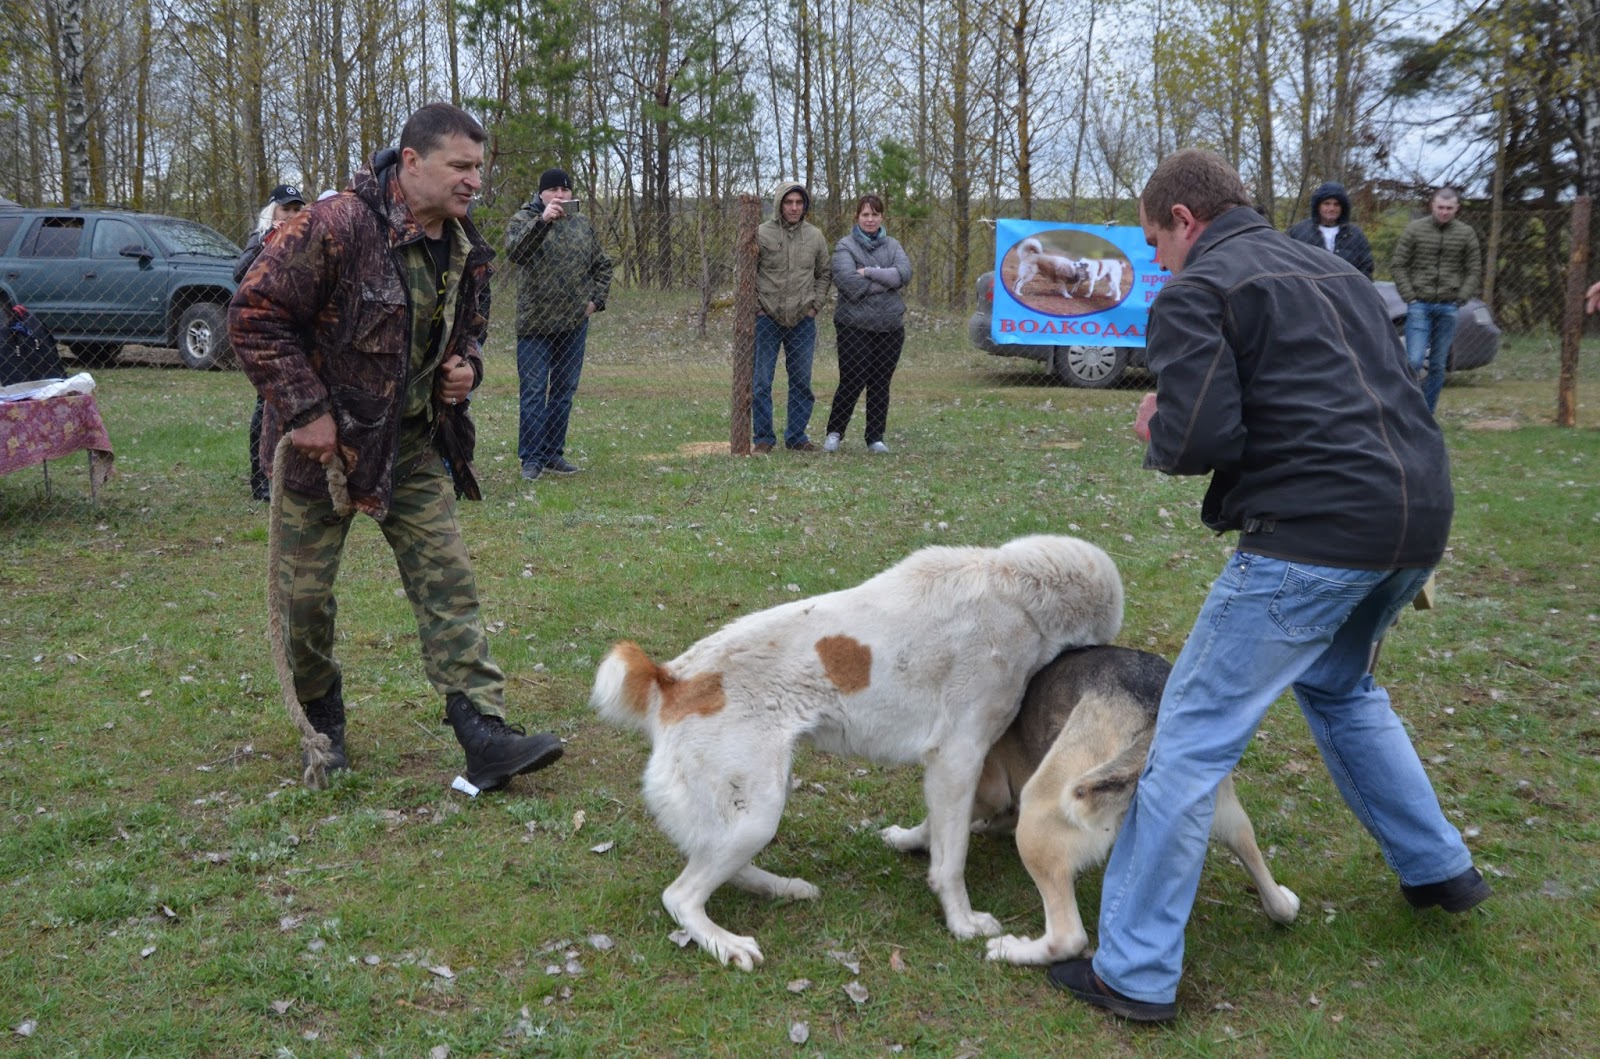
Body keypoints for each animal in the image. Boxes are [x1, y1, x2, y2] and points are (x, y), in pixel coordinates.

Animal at [589, 535, 1125, 970]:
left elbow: (944, 829)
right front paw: (962, 921)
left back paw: (782, 887)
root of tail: (672, 679)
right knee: (681, 896)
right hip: (756, 812)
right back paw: (726, 941)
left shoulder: (958, 769)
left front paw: (911, 843)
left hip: (754, 806)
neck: (1016, 592)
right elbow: (951, 860)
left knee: (715, 865)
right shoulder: (959, 757)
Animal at [886, 645, 1301, 966]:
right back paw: (1283, 901)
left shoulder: (981, 786)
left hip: (1040, 814)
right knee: (1270, 891)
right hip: (1230, 817)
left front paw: (906, 839)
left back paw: (1013, 951)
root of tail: (1154, 714)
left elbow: (934, 823)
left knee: (1068, 938)